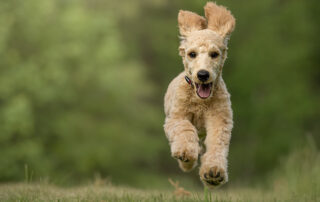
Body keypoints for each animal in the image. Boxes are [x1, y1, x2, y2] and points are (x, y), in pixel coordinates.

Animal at [165, 1, 235, 188]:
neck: (200, 102)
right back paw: (187, 161)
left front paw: (213, 172)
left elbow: (217, 145)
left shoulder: (220, 120)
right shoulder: (176, 117)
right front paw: (186, 152)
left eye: (214, 54)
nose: (203, 74)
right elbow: (184, 128)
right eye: (192, 54)